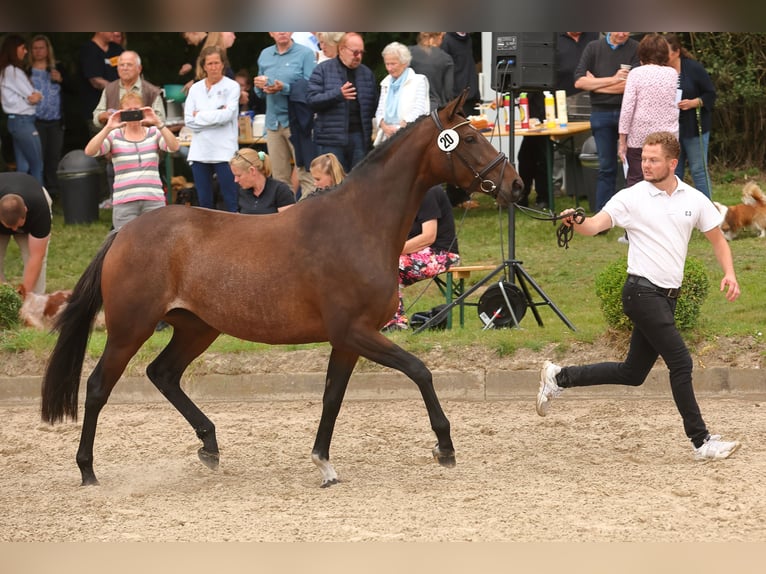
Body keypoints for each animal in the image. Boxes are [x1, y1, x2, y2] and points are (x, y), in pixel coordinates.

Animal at [40, 92, 520, 488]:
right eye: (471, 138)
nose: (514, 184)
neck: (360, 224)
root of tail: (124, 233)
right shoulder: (357, 332)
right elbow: (420, 371)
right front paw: (444, 446)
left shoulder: (347, 340)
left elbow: (332, 397)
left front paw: (323, 463)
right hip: (131, 328)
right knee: (98, 386)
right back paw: (87, 470)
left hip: (197, 327)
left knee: (163, 374)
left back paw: (209, 446)